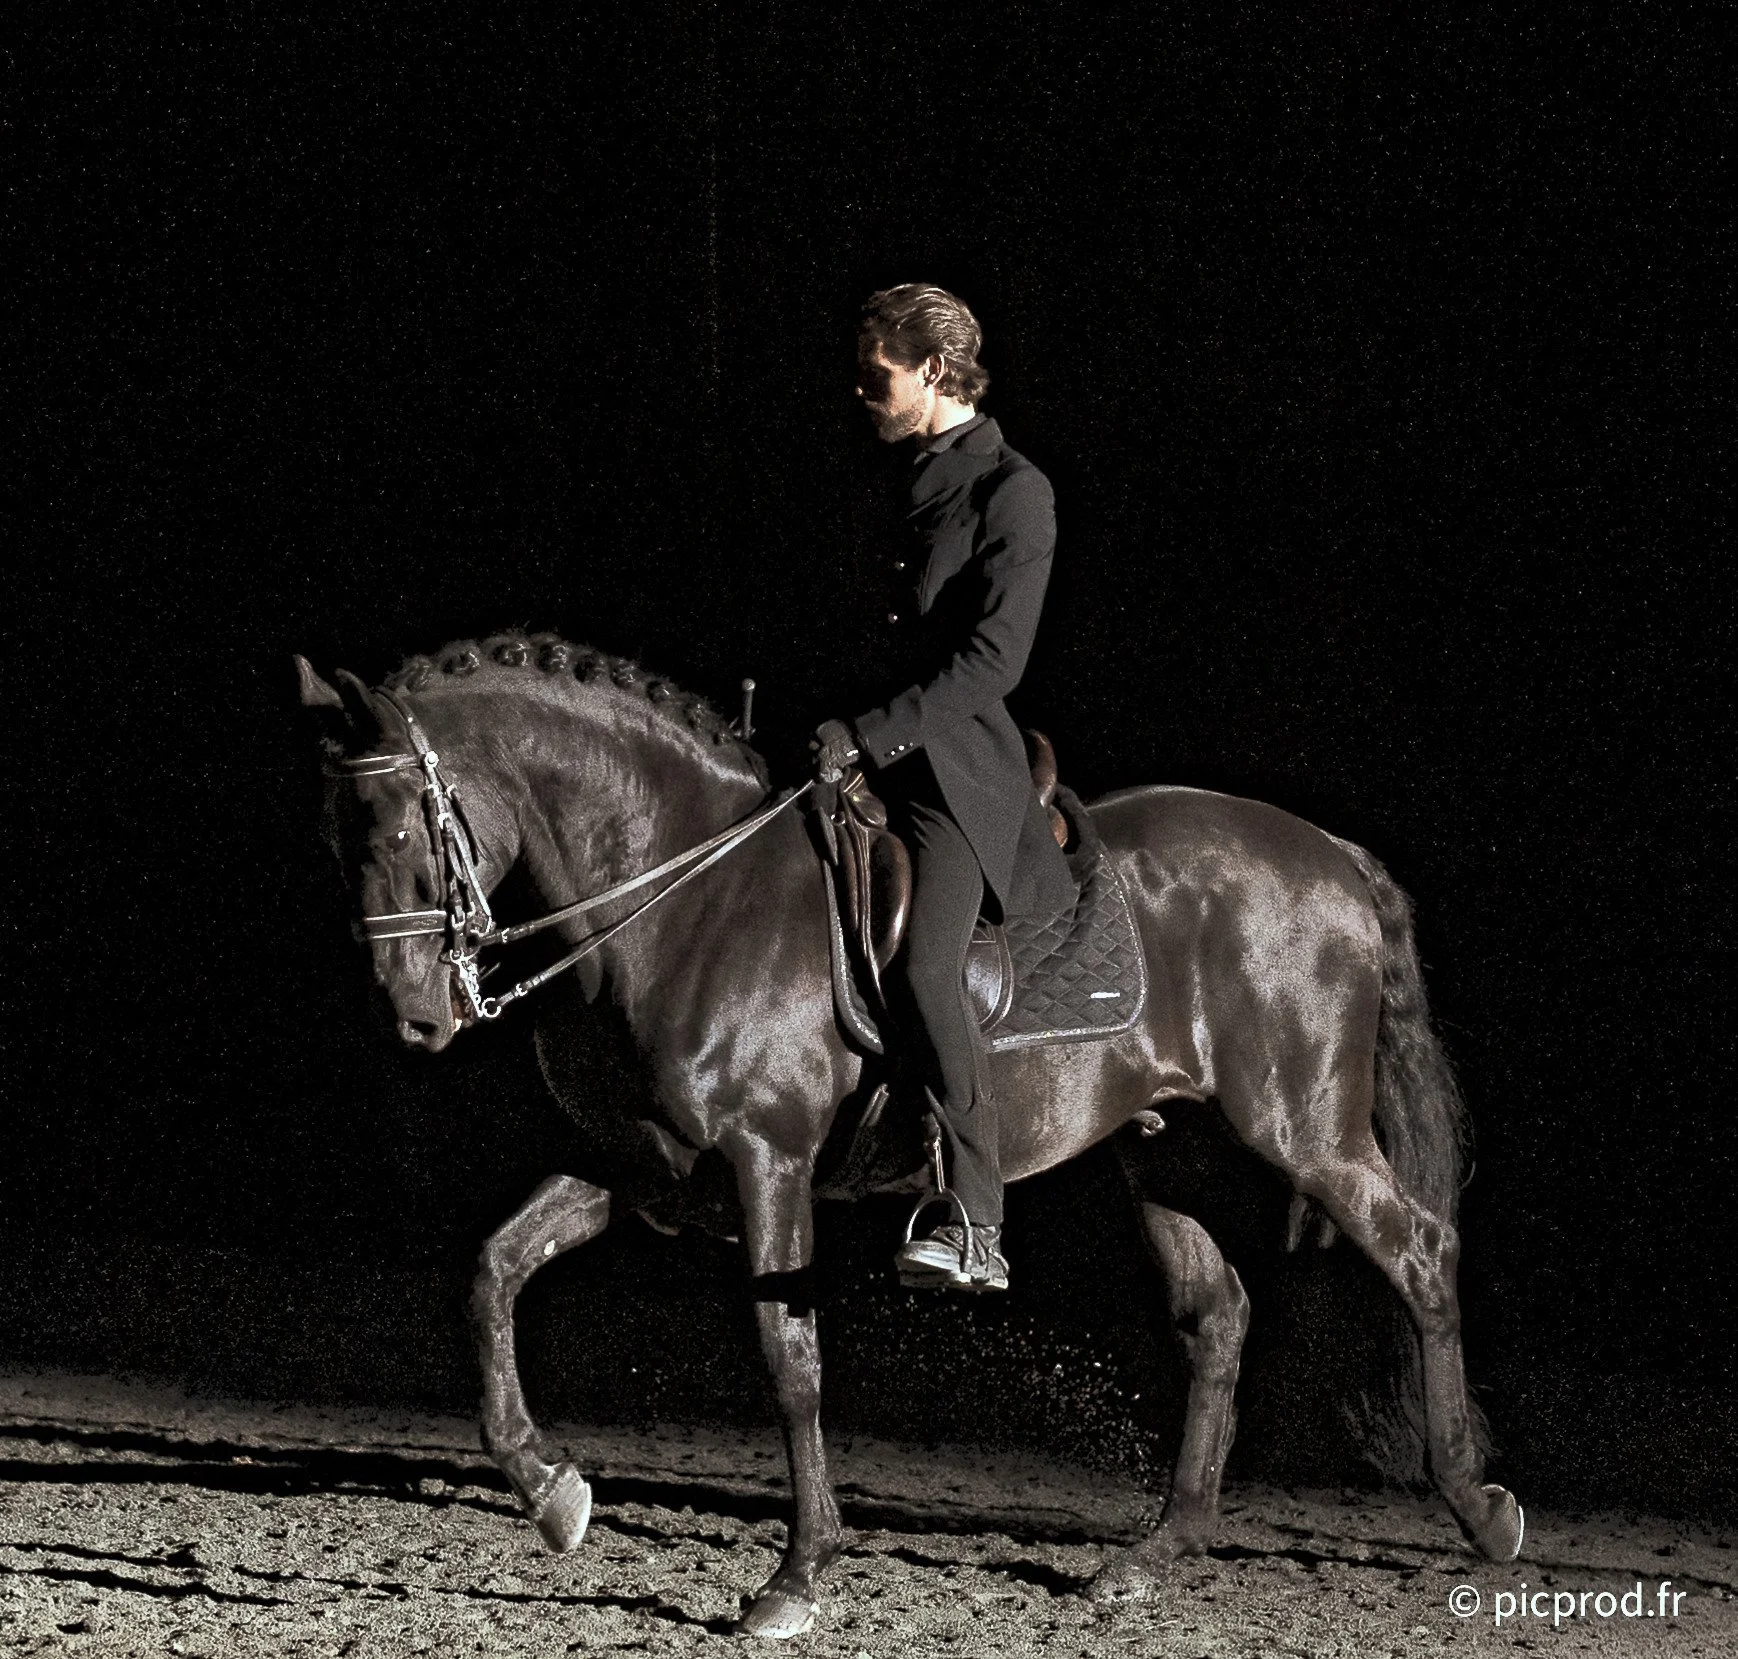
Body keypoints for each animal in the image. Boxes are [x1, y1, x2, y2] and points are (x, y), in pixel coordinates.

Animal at [296, 631, 1523, 1640]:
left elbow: (789, 1359)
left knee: (1419, 1257)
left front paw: (795, 1577)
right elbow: (494, 1270)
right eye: (336, 838)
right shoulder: (639, 1166)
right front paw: (550, 1491)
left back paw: (1480, 1509)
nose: (417, 1016)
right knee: (1215, 1316)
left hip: (1303, 1127)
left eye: (404, 827)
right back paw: (1153, 1557)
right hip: (1165, 1145)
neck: (690, 905)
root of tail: (1328, 854)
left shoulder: (769, 1163)